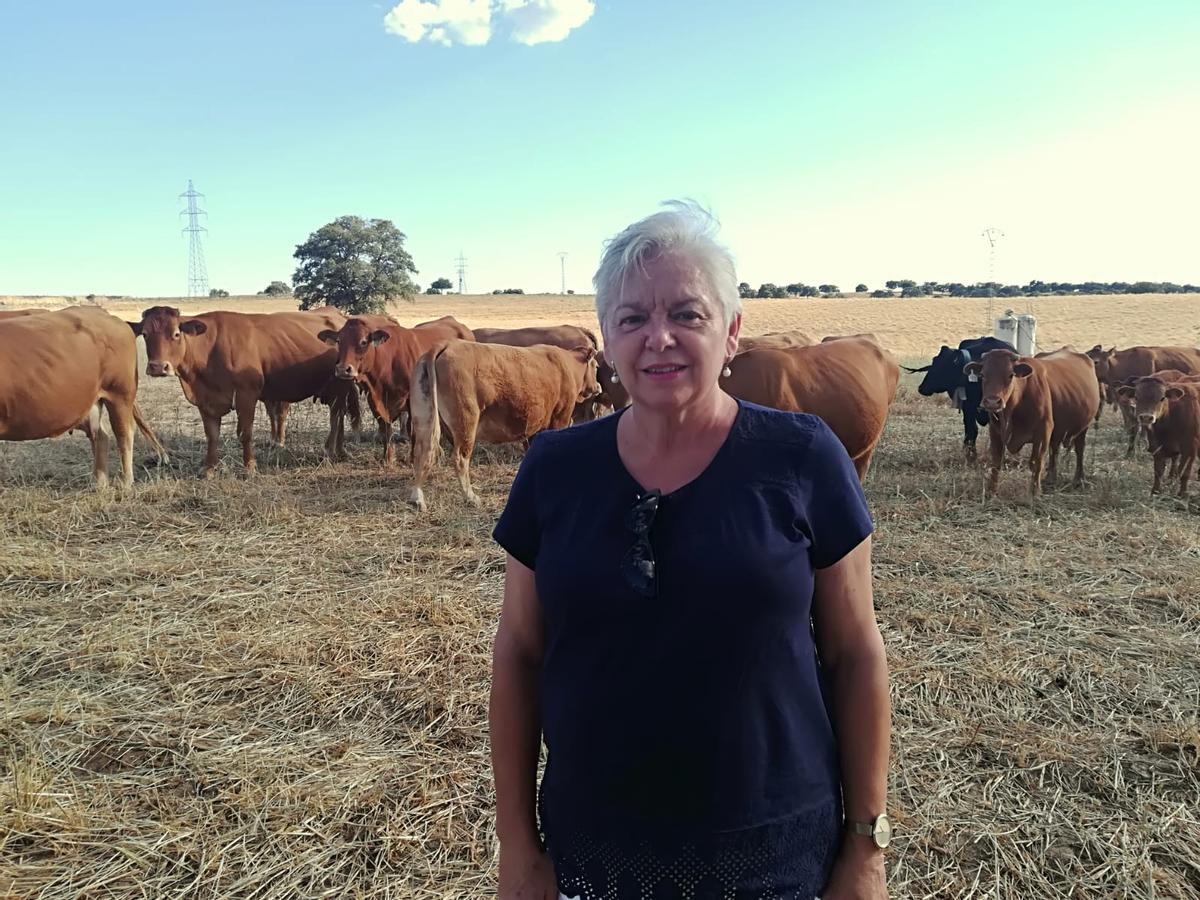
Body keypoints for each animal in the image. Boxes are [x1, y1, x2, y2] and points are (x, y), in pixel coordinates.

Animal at [0, 309, 169, 487]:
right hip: (92, 402)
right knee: (100, 436)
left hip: (120, 395)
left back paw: (126, 481)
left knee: (124, 434)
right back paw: (100, 483)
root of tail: (108, 316)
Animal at [131, 309, 357, 480]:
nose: (158, 367)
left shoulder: (246, 395)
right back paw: (339, 450)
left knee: (336, 417)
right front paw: (208, 469)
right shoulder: (205, 402)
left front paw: (249, 467)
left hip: (340, 387)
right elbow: (212, 435)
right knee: (339, 416)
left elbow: (245, 433)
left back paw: (332, 451)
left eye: (176, 334)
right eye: (145, 334)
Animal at [321, 316, 475, 468]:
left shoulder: (413, 401)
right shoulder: (375, 401)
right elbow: (385, 428)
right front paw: (387, 458)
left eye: (363, 342)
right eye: (339, 341)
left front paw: (412, 459)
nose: (343, 369)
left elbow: (411, 429)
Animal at [960, 348, 1099, 501]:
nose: (992, 401)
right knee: (1054, 450)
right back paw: (1050, 478)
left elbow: (1036, 462)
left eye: (1010, 375)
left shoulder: (1042, 432)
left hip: (1083, 427)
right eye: (983, 375)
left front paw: (1034, 493)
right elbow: (996, 463)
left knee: (1079, 450)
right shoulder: (995, 432)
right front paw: (991, 492)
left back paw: (1079, 479)